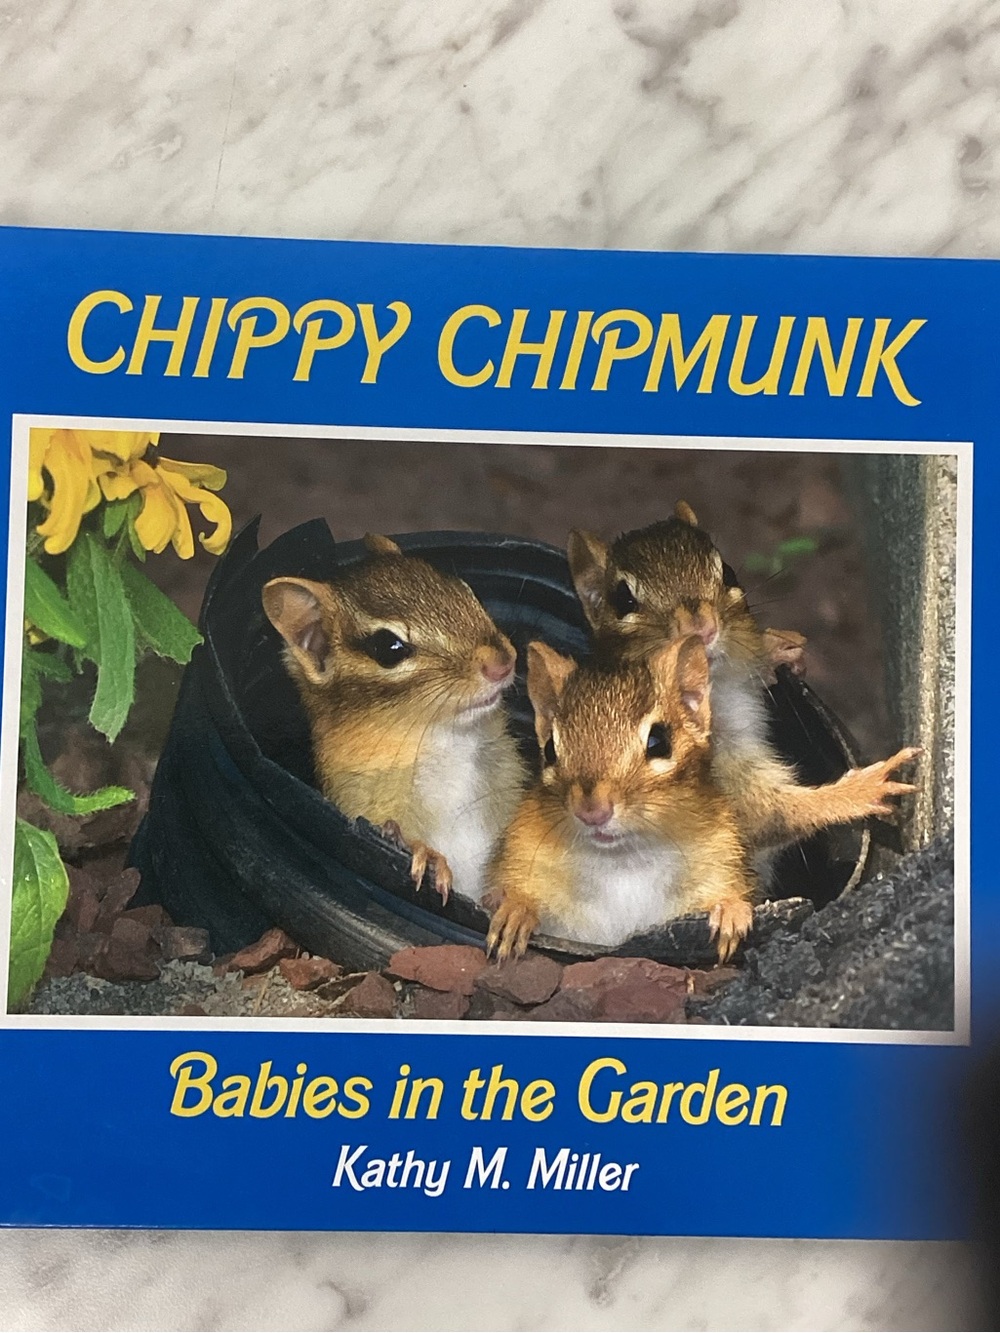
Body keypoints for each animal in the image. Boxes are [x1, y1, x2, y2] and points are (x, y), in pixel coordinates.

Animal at [262, 534, 527, 904]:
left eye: (464, 590)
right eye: (388, 646)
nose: (502, 662)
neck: (445, 739)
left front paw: (511, 900)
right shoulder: (359, 801)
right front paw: (423, 851)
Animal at [485, 634, 756, 963]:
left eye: (659, 742)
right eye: (549, 749)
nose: (591, 811)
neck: (623, 861)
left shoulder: (721, 856)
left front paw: (730, 910)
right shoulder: (522, 851)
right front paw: (516, 910)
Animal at [566, 502, 920, 859]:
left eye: (728, 572)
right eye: (623, 599)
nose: (702, 627)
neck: (719, 693)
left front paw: (775, 647)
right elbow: (772, 815)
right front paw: (862, 789)